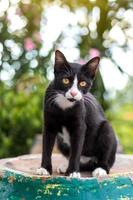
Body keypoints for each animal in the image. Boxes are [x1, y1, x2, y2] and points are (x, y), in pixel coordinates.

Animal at [37, 50, 117, 178]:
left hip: (107, 131)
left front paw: (73, 172)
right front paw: (44, 169)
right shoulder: (48, 124)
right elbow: (46, 147)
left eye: (83, 83)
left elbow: (76, 150)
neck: (65, 104)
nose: (74, 93)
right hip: (61, 142)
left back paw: (100, 169)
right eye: (65, 80)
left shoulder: (80, 124)